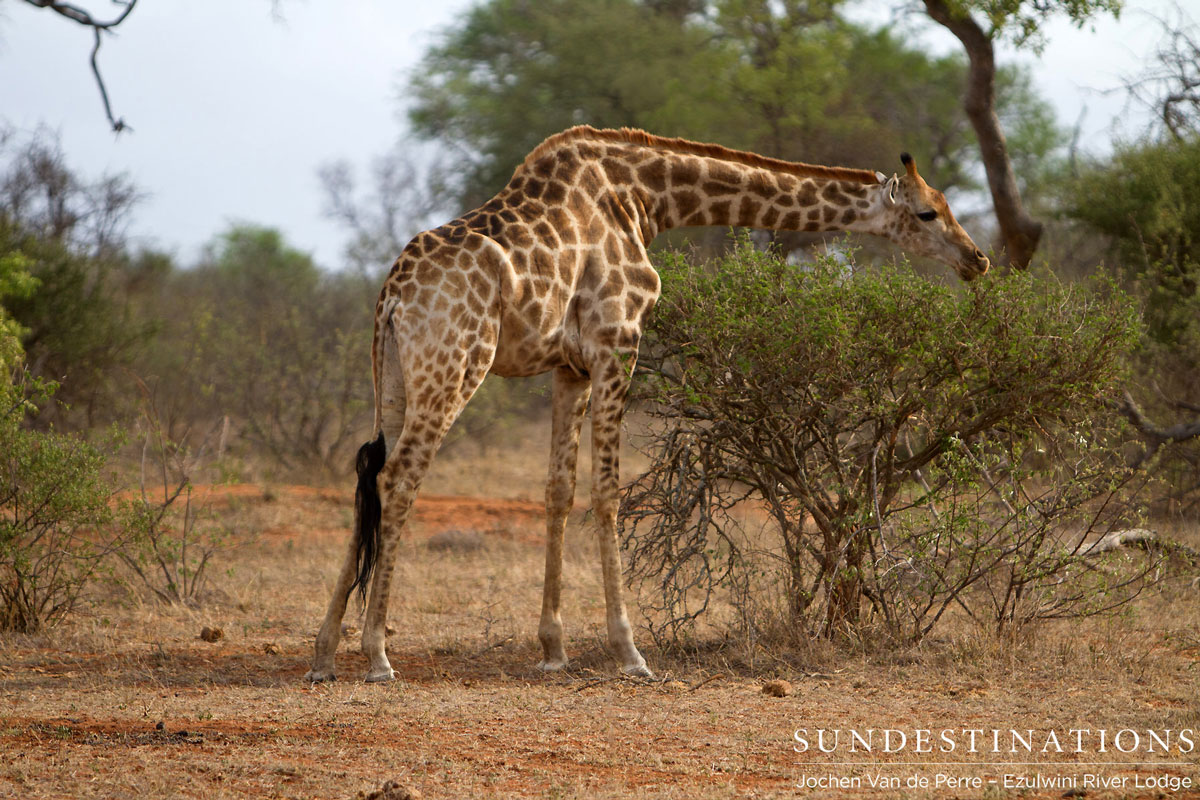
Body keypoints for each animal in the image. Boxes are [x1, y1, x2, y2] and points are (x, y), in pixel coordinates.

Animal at [305, 126, 989, 683]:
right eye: (928, 213)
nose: (977, 259)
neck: (644, 197)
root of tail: (392, 293)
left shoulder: (569, 367)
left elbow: (557, 491)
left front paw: (553, 650)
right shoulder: (618, 340)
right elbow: (608, 490)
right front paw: (629, 652)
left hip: (398, 376)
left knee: (369, 473)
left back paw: (323, 655)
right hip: (456, 364)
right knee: (398, 477)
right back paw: (376, 655)